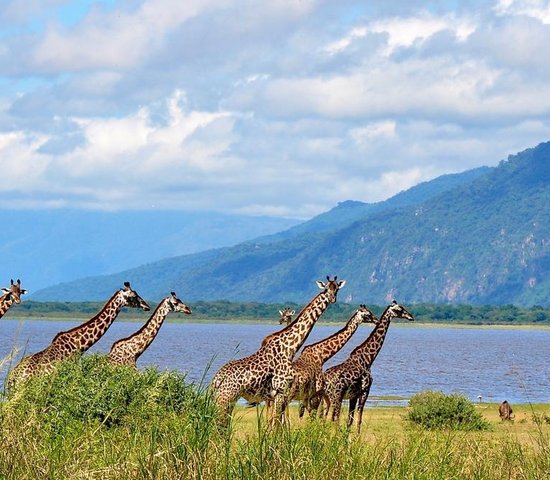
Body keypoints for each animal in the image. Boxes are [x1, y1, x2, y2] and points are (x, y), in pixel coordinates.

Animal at [210, 276, 344, 430]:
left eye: (337, 288)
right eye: (326, 288)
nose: (333, 298)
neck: (290, 347)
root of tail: (215, 379)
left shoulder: (275, 396)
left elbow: (276, 425)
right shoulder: (281, 392)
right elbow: (277, 426)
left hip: (225, 399)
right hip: (226, 398)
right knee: (219, 425)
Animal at [324, 300, 414, 432]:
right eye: (399, 309)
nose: (411, 316)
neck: (368, 359)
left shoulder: (353, 395)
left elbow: (349, 420)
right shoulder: (365, 391)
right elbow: (358, 420)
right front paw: (356, 437)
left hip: (327, 398)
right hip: (336, 396)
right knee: (334, 419)